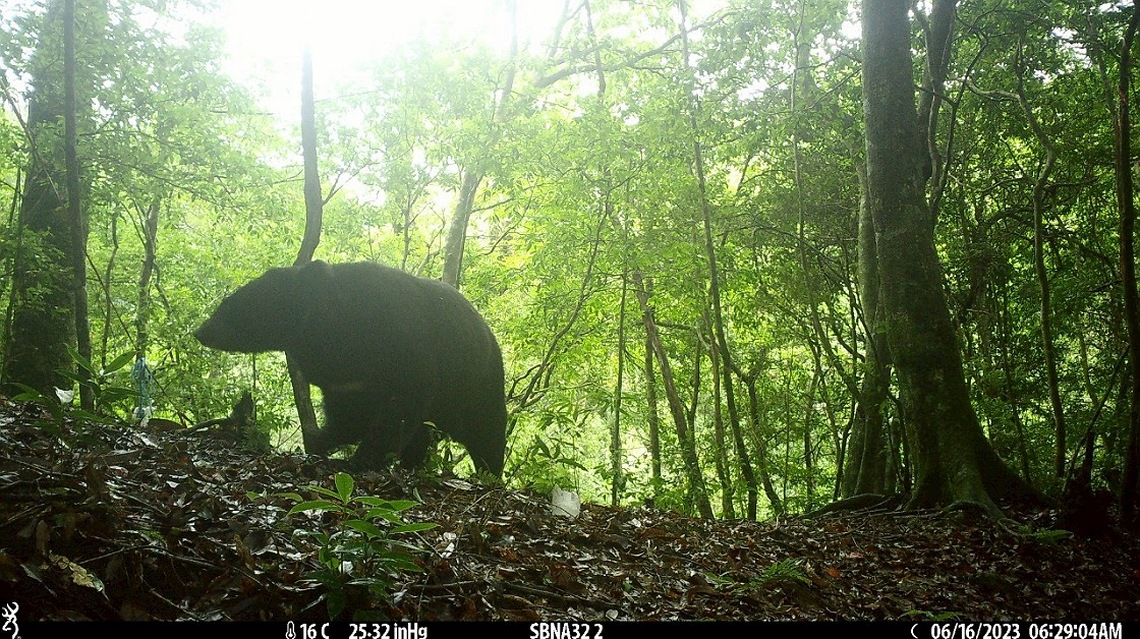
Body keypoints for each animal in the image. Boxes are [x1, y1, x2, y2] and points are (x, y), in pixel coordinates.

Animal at [194, 260, 507, 477]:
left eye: (237, 304)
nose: (201, 331)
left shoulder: (407, 352)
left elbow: (398, 412)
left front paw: (362, 457)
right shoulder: (346, 382)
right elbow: (350, 416)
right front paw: (322, 442)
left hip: (477, 386)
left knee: (487, 430)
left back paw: (487, 474)